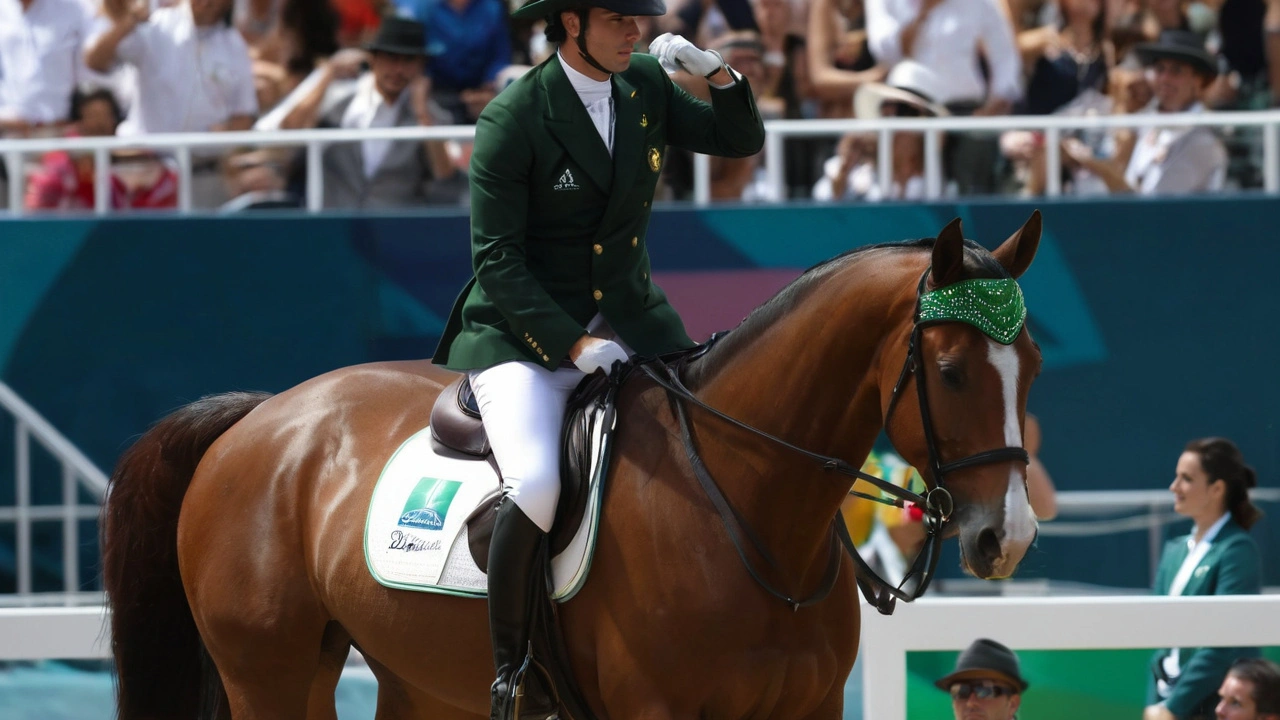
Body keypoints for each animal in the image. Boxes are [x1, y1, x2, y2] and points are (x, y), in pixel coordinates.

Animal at [99, 211, 1039, 717]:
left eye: (1028, 364)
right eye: (951, 371)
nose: (1009, 538)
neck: (748, 510)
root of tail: (262, 417)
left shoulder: (806, 709)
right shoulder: (658, 709)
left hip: (415, 677)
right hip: (270, 672)